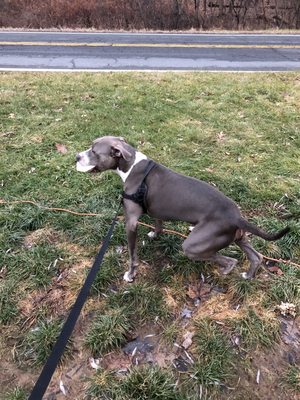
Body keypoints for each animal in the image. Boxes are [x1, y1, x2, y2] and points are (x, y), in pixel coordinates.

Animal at [76, 136, 290, 282]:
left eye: (94, 151)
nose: (76, 156)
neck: (131, 166)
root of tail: (236, 216)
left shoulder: (131, 223)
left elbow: (132, 254)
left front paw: (130, 274)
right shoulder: (156, 210)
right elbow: (158, 223)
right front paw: (154, 235)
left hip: (194, 245)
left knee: (230, 260)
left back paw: (225, 271)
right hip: (238, 236)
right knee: (256, 256)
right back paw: (248, 275)